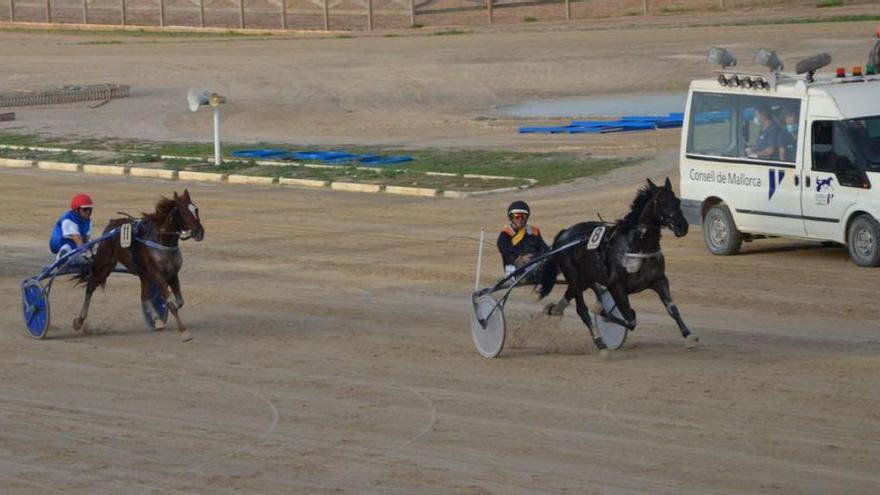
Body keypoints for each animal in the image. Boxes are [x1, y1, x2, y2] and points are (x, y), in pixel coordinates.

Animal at [73, 189, 205, 340]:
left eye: (196, 209)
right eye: (183, 212)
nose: (199, 232)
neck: (162, 241)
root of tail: (111, 225)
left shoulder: (172, 274)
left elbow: (178, 301)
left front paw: (161, 315)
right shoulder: (158, 275)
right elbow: (172, 304)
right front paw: (184, 332)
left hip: (143, 274)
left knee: (144, 297)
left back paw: (157, 320)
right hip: (104, 265)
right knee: (90, 287)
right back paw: (79, 321)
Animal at [540, 178, 696, 352]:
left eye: (677, 201)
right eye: (662, 202)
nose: (682, 226)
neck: (636, 245)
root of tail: (564, 234)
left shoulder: (659, 280)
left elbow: (672, 309)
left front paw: (689, 336)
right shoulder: (616, 286)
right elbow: (630, 319)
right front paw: (601, 311)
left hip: (584, 279)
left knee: (569, 297)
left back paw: (553, 309)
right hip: (573, 275)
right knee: (582, 310)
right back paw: (600, 343)